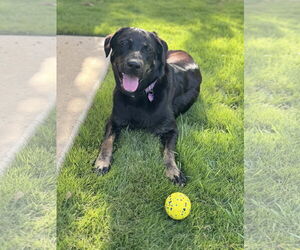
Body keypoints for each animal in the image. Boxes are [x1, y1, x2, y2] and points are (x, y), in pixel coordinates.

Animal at [94, 28, 202, 187]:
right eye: (123, 43)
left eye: (149, 49)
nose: (134, 65)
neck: (138, 96)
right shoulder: (113, 121)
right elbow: (107, 141)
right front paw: (102, 162)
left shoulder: (171, 129)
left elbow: (169, 152)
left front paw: (173, 171)